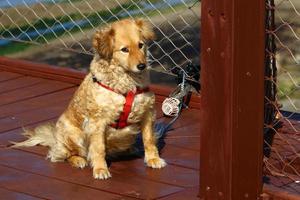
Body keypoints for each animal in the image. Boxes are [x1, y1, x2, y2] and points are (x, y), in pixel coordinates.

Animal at [12, 19, 165, 180]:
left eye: (141, 45)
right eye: (124, 50)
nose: (142, 65)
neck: (127, 84)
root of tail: (55, 139)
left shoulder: (147, 113)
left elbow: (149, 140)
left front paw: (153, 159)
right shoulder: (97, 122)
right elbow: (98, 148)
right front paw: (100, 169)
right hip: (74, 135)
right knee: (63, 155)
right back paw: (78, 160)